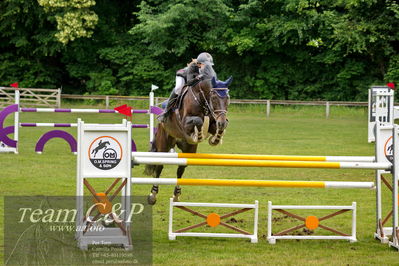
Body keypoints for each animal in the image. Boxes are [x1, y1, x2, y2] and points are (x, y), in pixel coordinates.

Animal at [145, 72, 233, 204]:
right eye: (213, 98)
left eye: (227, 98)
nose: (221, 122)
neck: (202, 101)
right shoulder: (185, 123)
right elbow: (198, 121)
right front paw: (199, 135)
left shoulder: (214, 121)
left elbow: (217, 128)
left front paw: (216, 139)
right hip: (163, 144)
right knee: (159, 167)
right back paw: (152, 195)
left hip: (188, 149)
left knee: (180, 169)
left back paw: (176, 196)